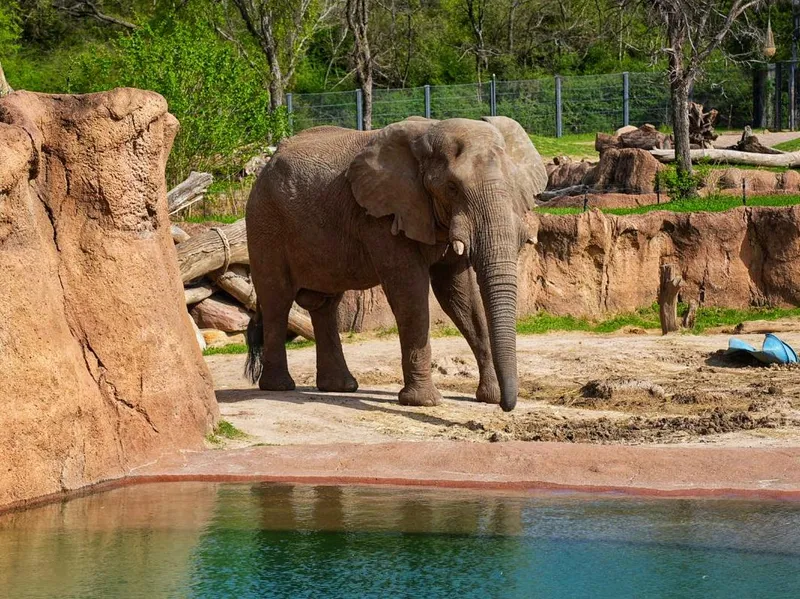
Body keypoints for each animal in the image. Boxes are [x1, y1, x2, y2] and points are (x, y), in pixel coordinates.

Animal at [244, 116, 547, 412]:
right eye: (452, 188)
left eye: (513, 187)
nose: (507, 406)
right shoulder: (383, 216)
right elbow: (409, 290)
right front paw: (423, 402)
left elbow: (460, 294)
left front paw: (489, 397)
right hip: (264, 223)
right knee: (277, 300)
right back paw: (279, 387)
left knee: (324, 304)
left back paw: (340, 387)